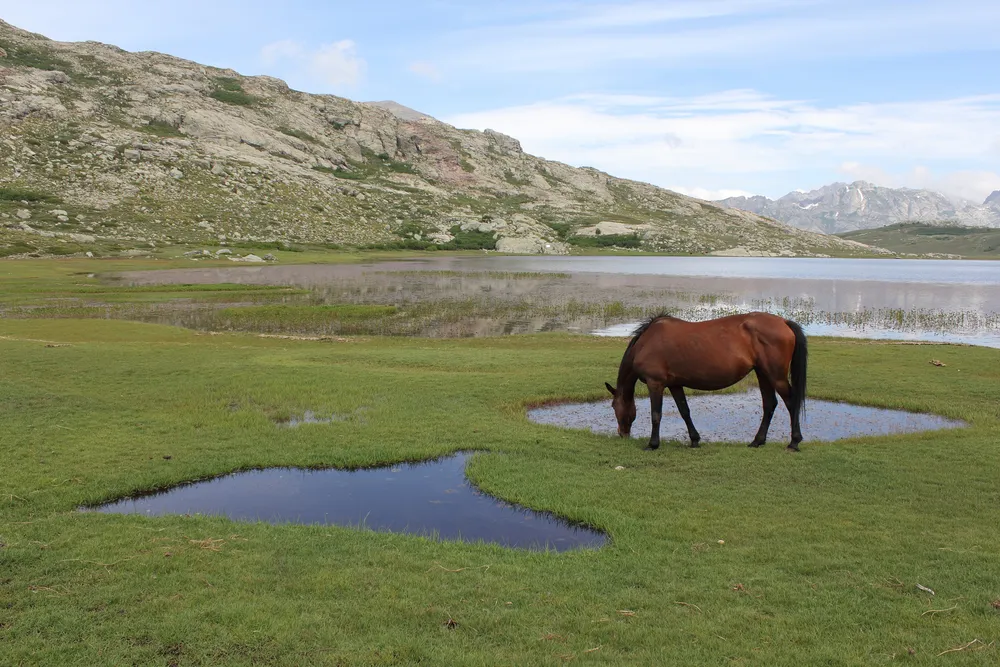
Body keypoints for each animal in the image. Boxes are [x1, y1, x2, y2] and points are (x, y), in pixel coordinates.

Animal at [605, 312, 808, 451]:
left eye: (614, 406)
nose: (622, 434)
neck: (646, 343)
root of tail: (783, 322)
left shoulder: (655, 383)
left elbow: (656, 414)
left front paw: (652, 444)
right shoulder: (674, 384)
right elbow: (684, 411)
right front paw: (694, 440)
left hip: (776, 376)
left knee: (791, 402)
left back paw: (794, 442)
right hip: (763, 374)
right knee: (769, 404)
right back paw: (757, 441)